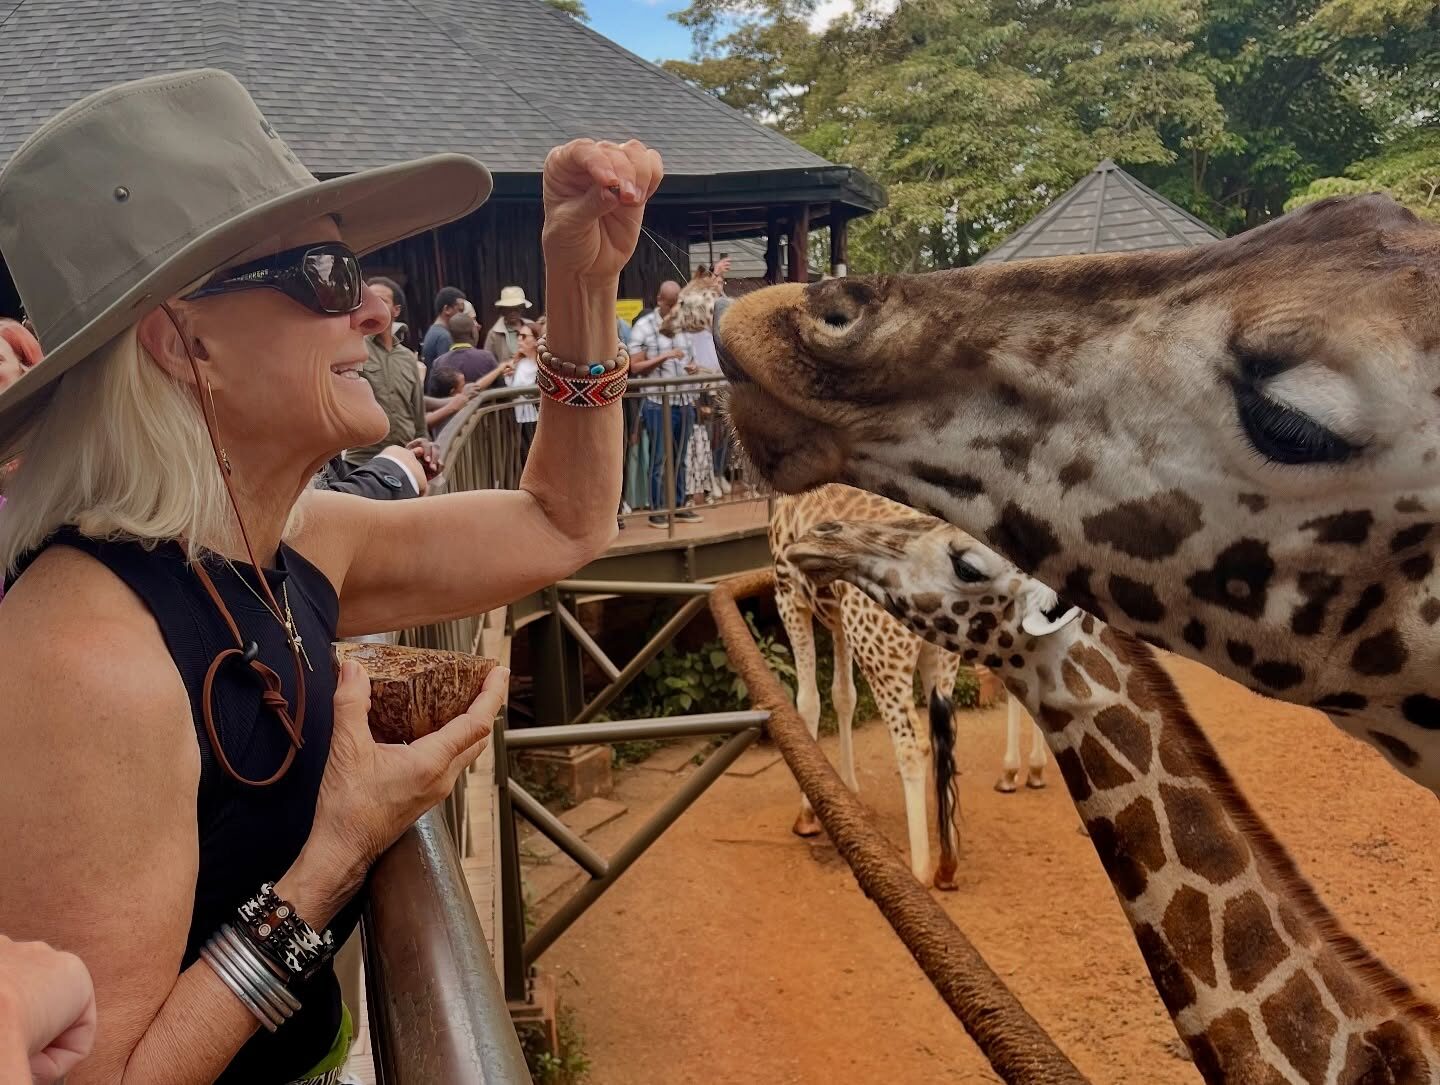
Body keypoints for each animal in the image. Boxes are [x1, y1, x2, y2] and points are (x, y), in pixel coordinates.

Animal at [771, 484, 1047, 889]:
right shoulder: (836, 618)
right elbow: (843, 696)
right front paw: (847, 792)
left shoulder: (790, 597)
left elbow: (807, 703)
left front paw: (808, 815)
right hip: (941, 655)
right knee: (945, 736)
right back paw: (948, 861)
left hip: (883, 652)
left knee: (911, 742)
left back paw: (920, 870)